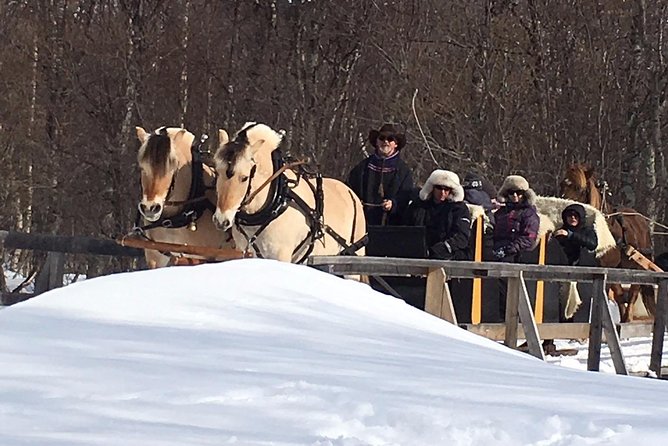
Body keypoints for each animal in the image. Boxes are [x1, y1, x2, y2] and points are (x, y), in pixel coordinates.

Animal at [560, 164, 652, 320]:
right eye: (562, 184)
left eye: (579, 188)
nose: (567, 211)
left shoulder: (607, 266)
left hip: (637, 268)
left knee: (632, 295)